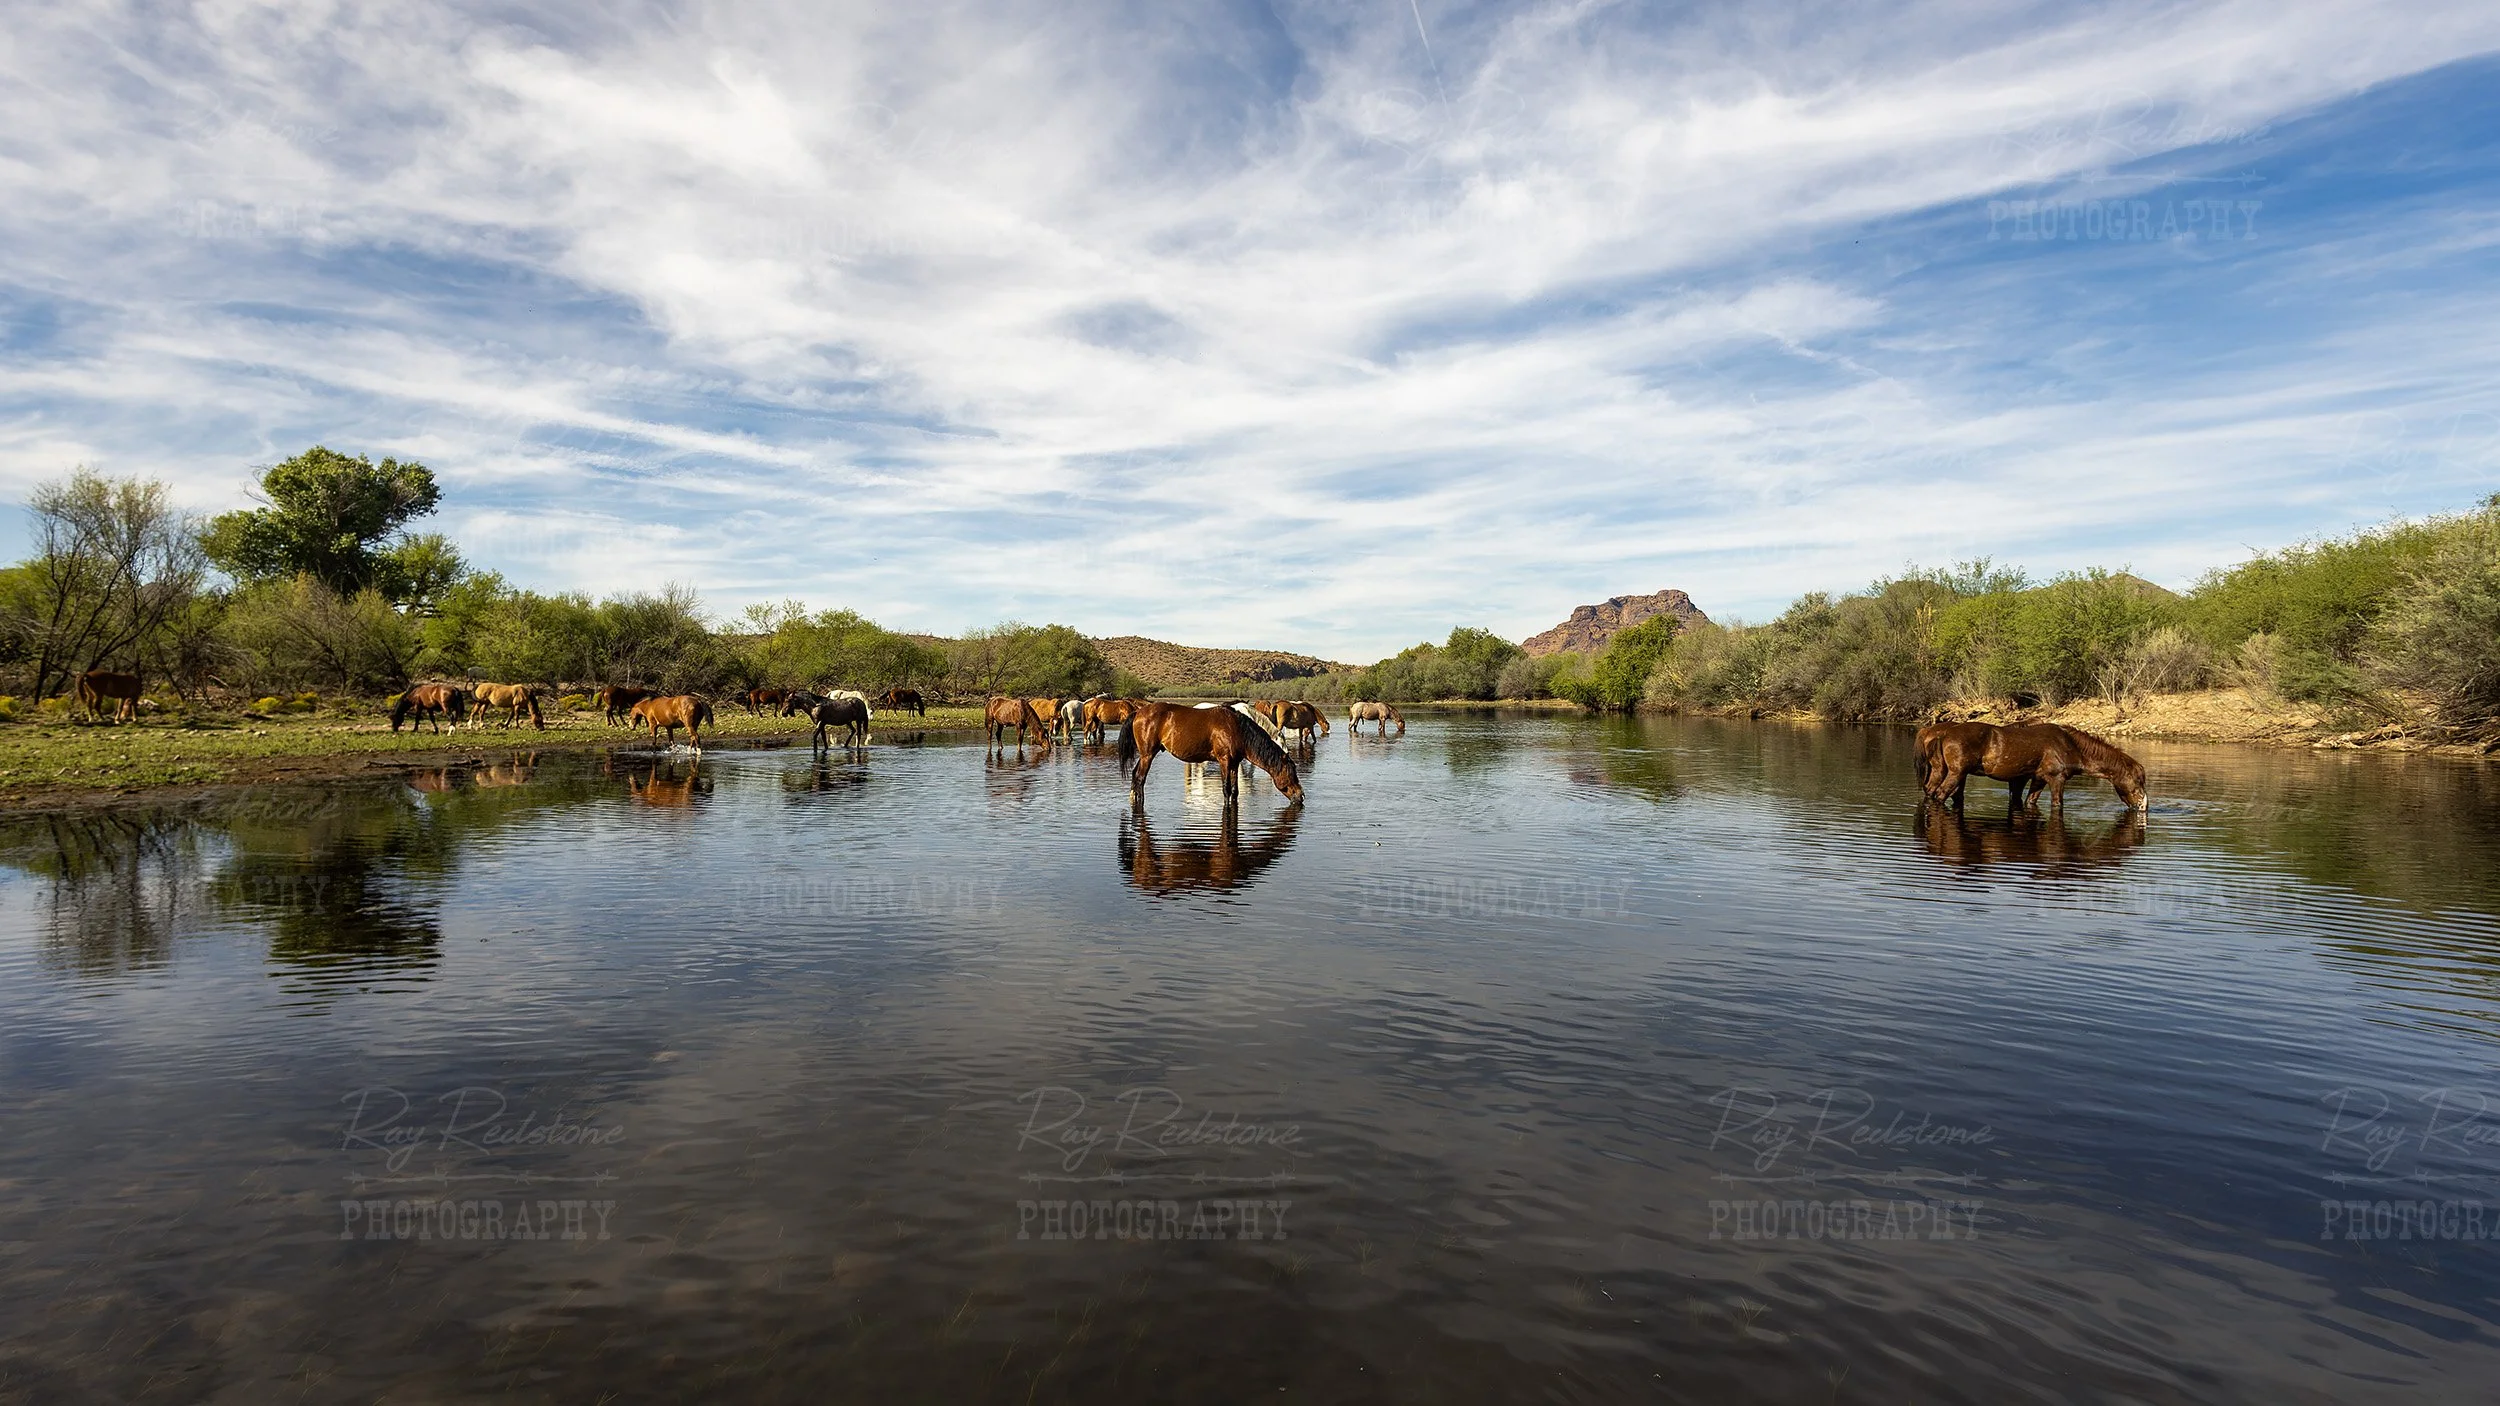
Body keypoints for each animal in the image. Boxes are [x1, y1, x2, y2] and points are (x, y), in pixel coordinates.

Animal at [1119, 701, 1304, 805]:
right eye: (1291, 773)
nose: (1301, 796)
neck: (1237, 728)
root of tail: (1138, 712)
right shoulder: (1224, 761)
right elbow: (1226, 789)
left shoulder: (1234, 763)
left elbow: (1235, 791)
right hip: (1147, 755)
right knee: (1140, 778)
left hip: (1146, 755)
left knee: (1136, 776)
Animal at [1928, 722, 2147, 813]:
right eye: (2137, 780)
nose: (2144, 806)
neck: (2070, 744)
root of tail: (1944, 734)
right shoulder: (2057, 779)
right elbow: (2057, 803)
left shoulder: (2039, 779)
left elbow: (2030, 801)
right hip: (1956, 774)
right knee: (1940, 795)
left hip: (1941, 772)